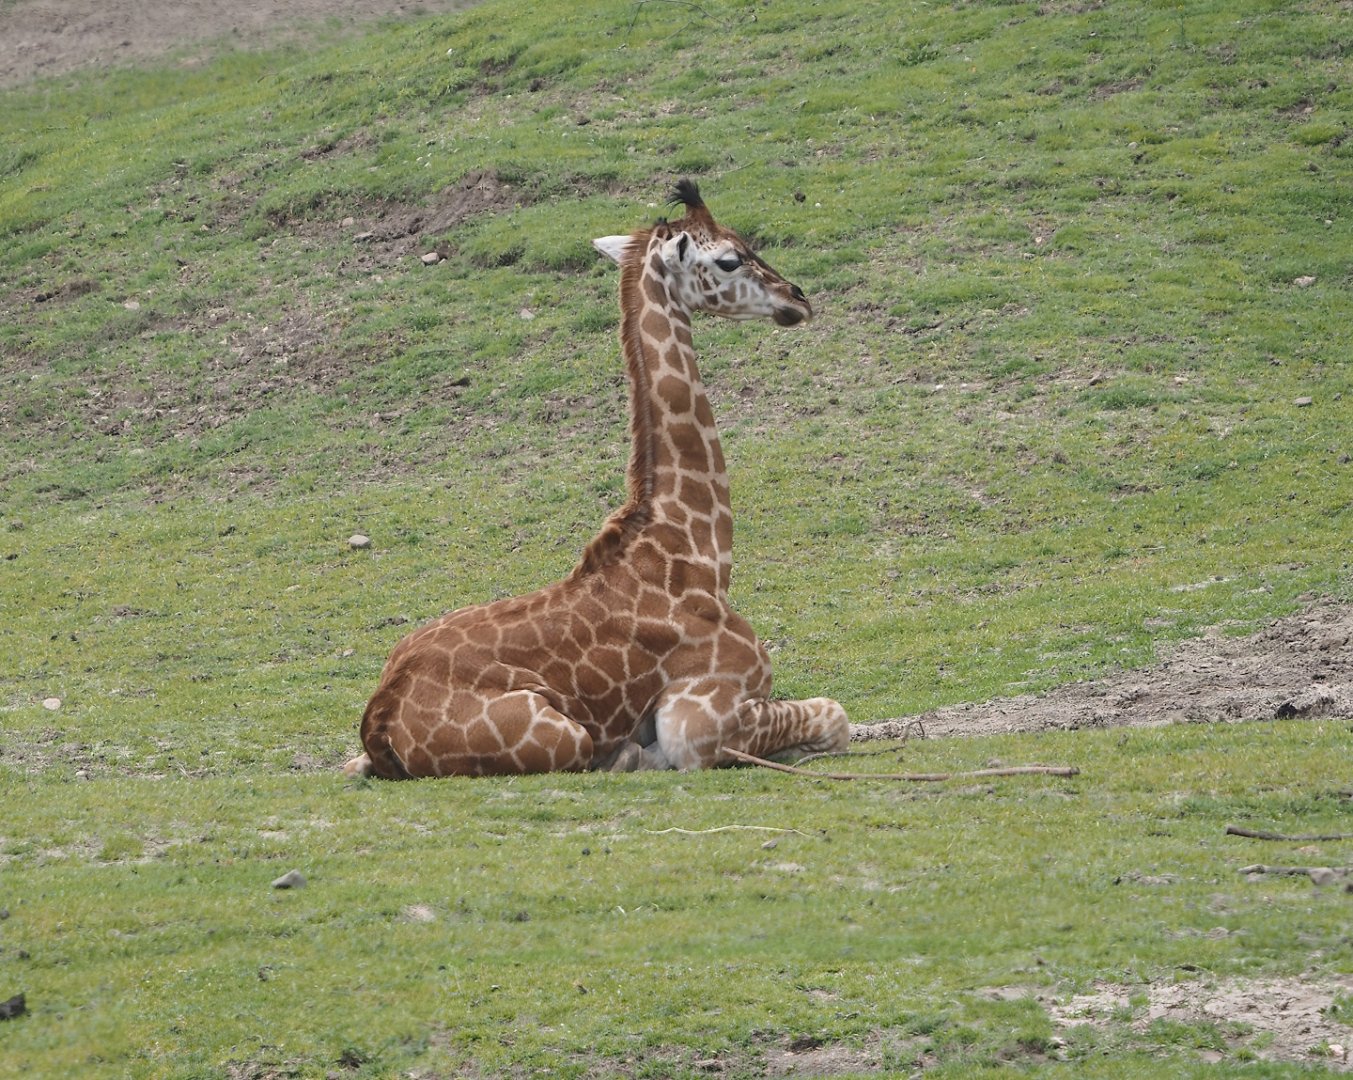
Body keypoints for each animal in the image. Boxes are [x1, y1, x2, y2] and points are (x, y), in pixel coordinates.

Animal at [343, 180, 848, 778]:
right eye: (729, 258)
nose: (798, 297)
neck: (697, 552)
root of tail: (380, 717)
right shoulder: (698, 714)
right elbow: (835, 716)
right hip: (561, 735)